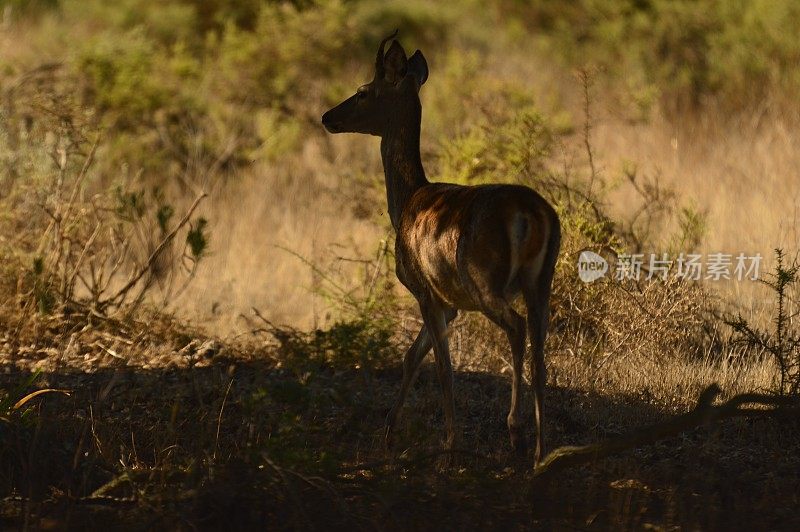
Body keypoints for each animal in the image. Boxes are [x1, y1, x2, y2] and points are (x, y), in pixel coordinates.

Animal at [322, 31, 560, 464]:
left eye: (363, 91)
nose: (327, 117)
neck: (406, 201)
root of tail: (533, 214)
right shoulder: (448, 303)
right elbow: (411, 357)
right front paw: (388, 435)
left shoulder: (424, 289)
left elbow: (442, 368)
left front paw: (449, 445)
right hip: (542, 280)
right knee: (540, 348)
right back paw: (540, 451)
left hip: (484, 279)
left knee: (517, 328)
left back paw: (515, 431)